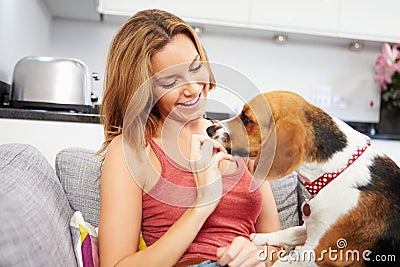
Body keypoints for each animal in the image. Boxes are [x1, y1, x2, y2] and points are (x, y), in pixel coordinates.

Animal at [208, 91, 398, 266]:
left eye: (247, 119)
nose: (209, 129)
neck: (336, 171)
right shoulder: (311, 228)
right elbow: (289, 232)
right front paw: (259, 238)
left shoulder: (319, 250)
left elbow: (285, 260)